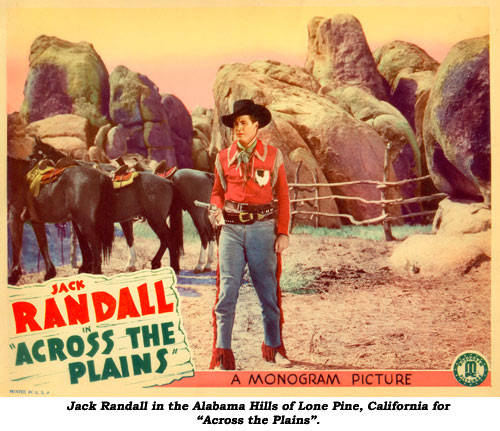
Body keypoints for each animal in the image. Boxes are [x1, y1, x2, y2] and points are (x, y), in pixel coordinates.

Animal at [7, 157, 114, 286]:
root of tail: (100, 175)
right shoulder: (36, 221)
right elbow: (42, 244)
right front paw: (49, 273)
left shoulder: (14, 217)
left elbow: (16, 245)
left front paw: (13, 276)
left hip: (84, 223)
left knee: (95, 244)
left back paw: (95, 273)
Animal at [27, 138, 180, 274]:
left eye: (34, 155)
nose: (30, 176)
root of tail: (167, 182)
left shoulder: (80, 221)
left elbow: (84, 243)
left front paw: (86, 267)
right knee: (164, 241)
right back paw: (156, 263)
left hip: (155, 218)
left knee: (168, 239)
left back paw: (172, 267)